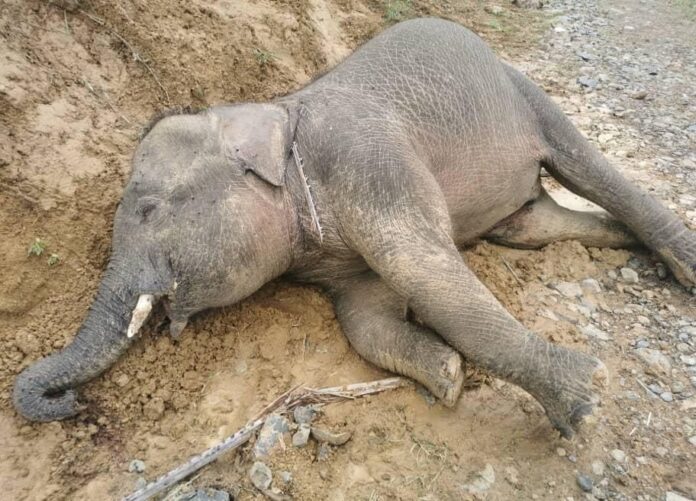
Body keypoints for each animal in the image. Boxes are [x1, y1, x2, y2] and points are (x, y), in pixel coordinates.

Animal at [14, 18, 695, 439]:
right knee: (532, 223)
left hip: (523, 90)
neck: (276, 111)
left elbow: (425, 270)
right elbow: (364, 317)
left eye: (150, 210)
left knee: (587, 166)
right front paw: (446, 376)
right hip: (521, 196)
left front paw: (582, 403)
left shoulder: (369, 161)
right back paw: (638, 252)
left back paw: (681, 265)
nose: (70, 402)